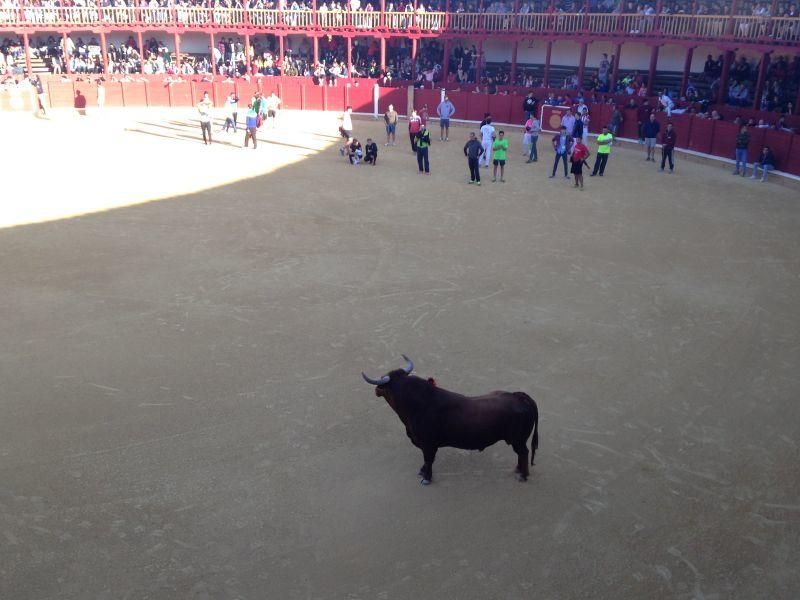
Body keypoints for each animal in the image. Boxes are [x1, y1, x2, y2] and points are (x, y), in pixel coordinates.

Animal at [362, 354, 536, 486]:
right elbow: (426, 461)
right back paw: (517, 470)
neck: (418, 404)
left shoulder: (428, 444)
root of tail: (518, 396)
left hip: (518, 440)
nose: (376, 390)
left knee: (524, 453)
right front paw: (421, 472)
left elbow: (429, 460)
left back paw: (523, 475)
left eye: (386, 387)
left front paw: (426, 478)